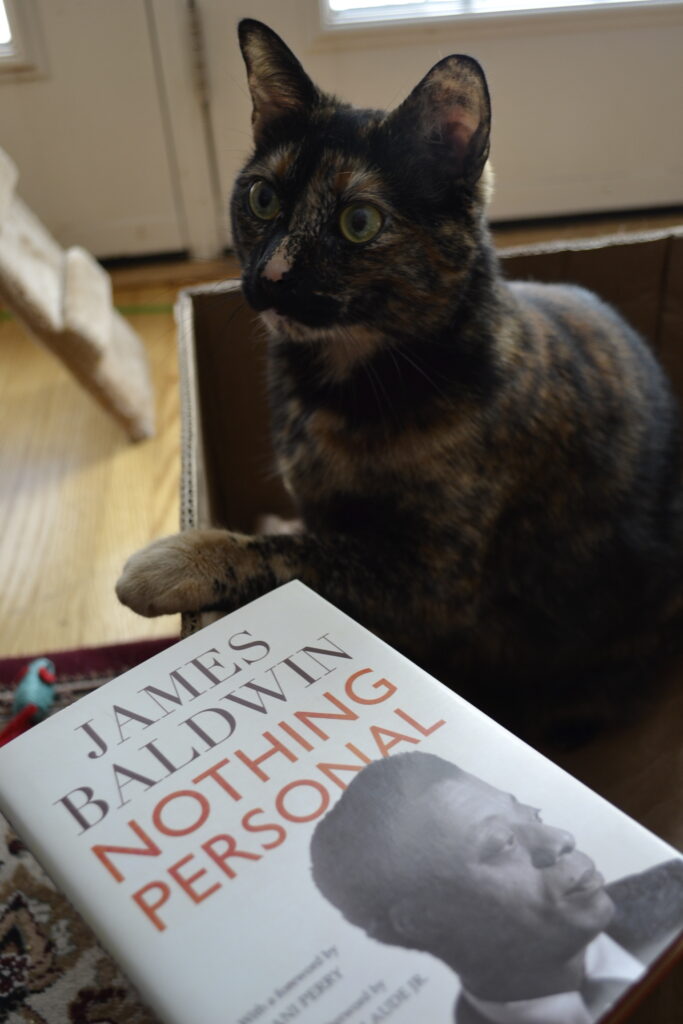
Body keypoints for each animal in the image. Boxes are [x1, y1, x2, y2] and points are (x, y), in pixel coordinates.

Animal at [114, 16, 679, 737]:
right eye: (263, 198)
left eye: (359, 222)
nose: (270, 277)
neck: (340, 388)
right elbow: (313, 538)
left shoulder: (431, 585)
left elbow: (309, 554)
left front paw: (178, 558)